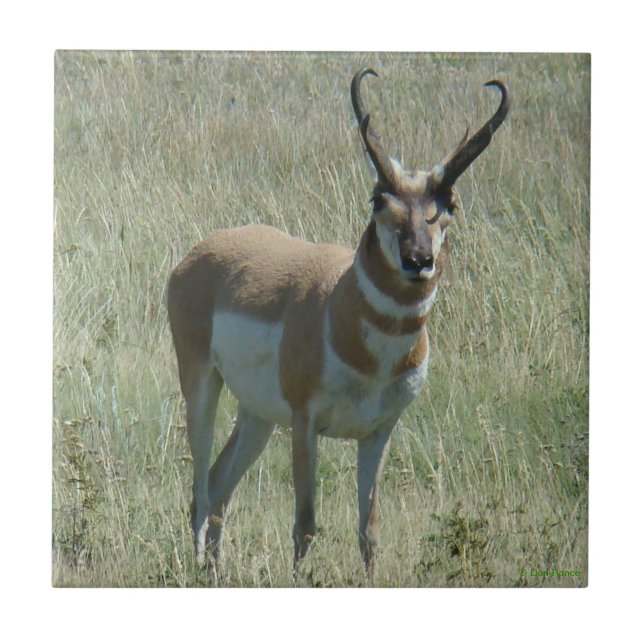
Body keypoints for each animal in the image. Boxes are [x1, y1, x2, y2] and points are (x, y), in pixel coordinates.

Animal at [167, 68, 509, 580]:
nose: (418, 261)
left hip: (258, 416)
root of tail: (202, 251)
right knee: (200, 490)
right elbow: (305, 524)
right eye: (378, 199)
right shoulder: (305, 424)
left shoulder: (379, 432)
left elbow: (369, 531)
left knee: (219, 482)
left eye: (448, 202)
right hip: (203, 386)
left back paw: (213, 572)